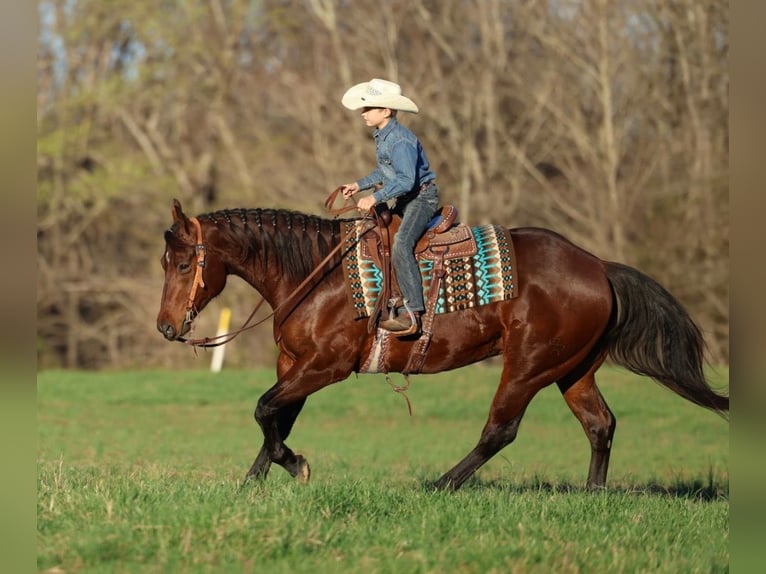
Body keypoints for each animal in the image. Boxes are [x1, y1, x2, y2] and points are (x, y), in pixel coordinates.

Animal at [156, 198, 728, 490]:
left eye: (184, 264)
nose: (165, 327)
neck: (316, 274)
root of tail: (600, 267)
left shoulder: (325, 366)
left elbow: (264, 409)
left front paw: (294, 466)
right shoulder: (294, 364)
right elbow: (277, 415)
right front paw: (253, 483)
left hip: (527, 366)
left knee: (500, 431)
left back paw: (439, 484)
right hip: (573, 369)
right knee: (600, 425)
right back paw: (592, 494)